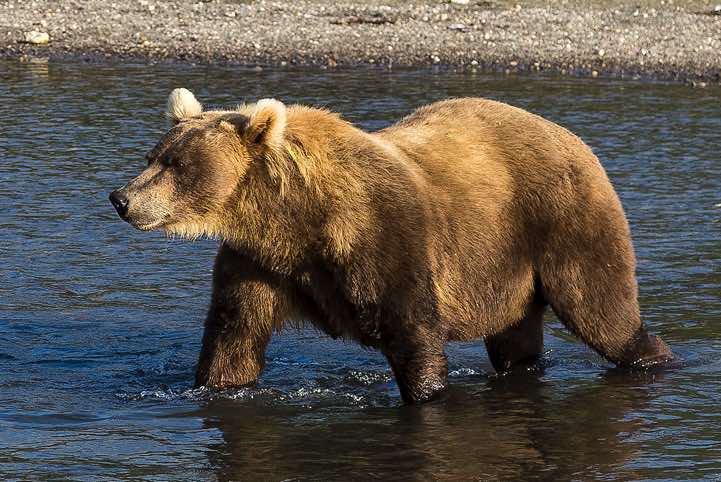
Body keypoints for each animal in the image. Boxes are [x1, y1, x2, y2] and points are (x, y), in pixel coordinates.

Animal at [109, 88, 674, 404]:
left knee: (601, 309)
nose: (121, 198)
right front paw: (209, 386)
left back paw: (652, 358)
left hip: (560, 220)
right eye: (152, 155)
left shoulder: (383, 239)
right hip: (508, 267)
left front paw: (426, 395)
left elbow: (411, 330)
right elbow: (235, 337)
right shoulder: (259, 262)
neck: (294, 219)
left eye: (176, 165)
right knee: (515, 339)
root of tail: (571, 136)